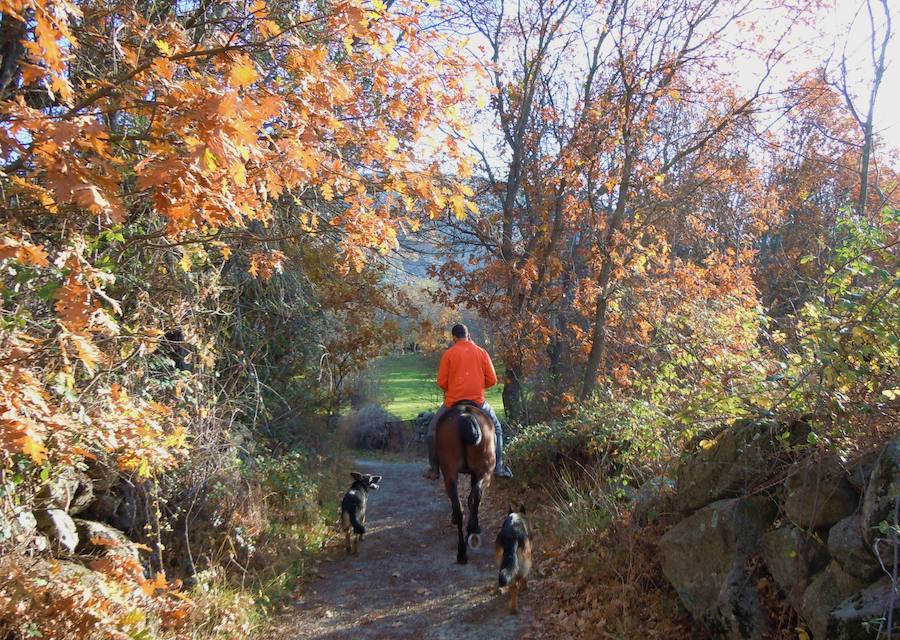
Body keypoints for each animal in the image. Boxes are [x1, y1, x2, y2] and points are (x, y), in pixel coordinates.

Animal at [434, 402, 496, 564]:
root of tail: (466, 416)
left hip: (452, 474)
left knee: (462, 504)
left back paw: (463, 548)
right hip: (484, 472)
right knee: (474, 497)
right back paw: (468, 539)